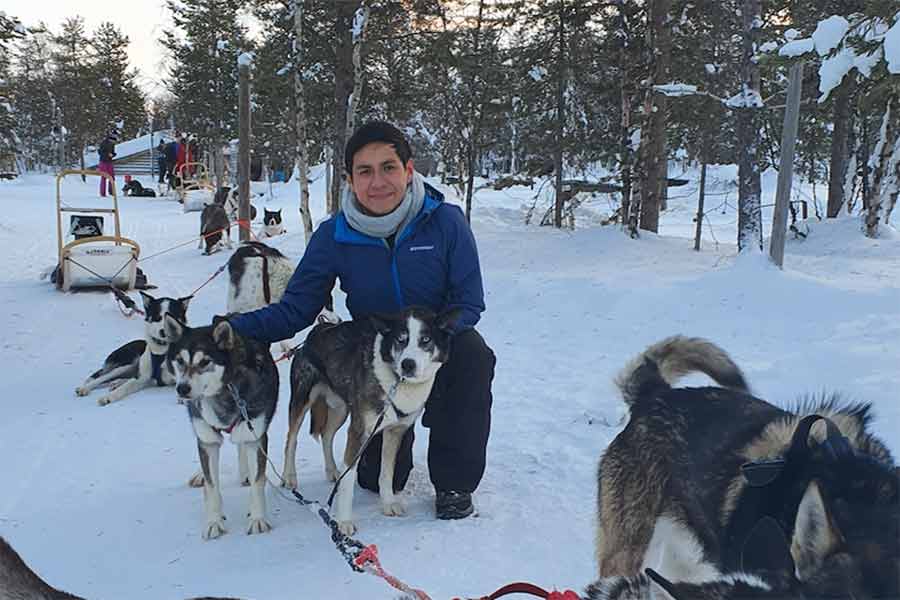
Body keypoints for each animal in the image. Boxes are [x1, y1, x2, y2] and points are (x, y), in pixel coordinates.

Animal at [164, 316, 278, 540]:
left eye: (204, 362)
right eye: (180, 361)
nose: (182, 388)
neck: (224, 395)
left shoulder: (255, 436)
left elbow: (258, 482)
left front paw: (257, 518)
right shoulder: (207, 441)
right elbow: (212, 486)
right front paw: (214, 521)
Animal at [284, 308, 458, 532]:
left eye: (425, 340)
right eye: (400, 340)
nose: (407, 364)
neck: (395, 382)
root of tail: (317, 330)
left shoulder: (395, 431)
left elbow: (386, 473)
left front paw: (388, 503)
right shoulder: (358, 432)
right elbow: (349, 479)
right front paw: (344, 521)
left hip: (341, 409)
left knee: (327, 435)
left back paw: (332, 470)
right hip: (303, 400)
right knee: (292, 438)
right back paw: (289, 477)